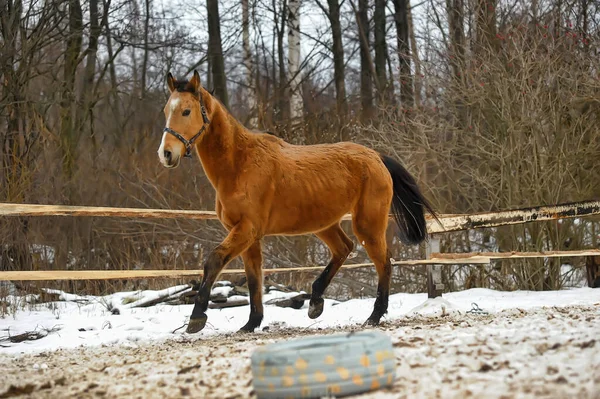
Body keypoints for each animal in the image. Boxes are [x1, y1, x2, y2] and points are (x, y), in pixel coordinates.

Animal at [158, 71, 440, 334]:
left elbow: (214, 260)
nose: (166, 154)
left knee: (383, 262)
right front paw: (251, 323)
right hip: (323, 224)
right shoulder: (248, 236)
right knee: (344, 248)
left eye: (186, 111)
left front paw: (197, 318)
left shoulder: (246, 229)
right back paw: (315, 302)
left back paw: (374, 315)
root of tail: (376, 157)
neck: (239, 164)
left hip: (367, 224)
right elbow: (253, 278)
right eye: (165, 110)